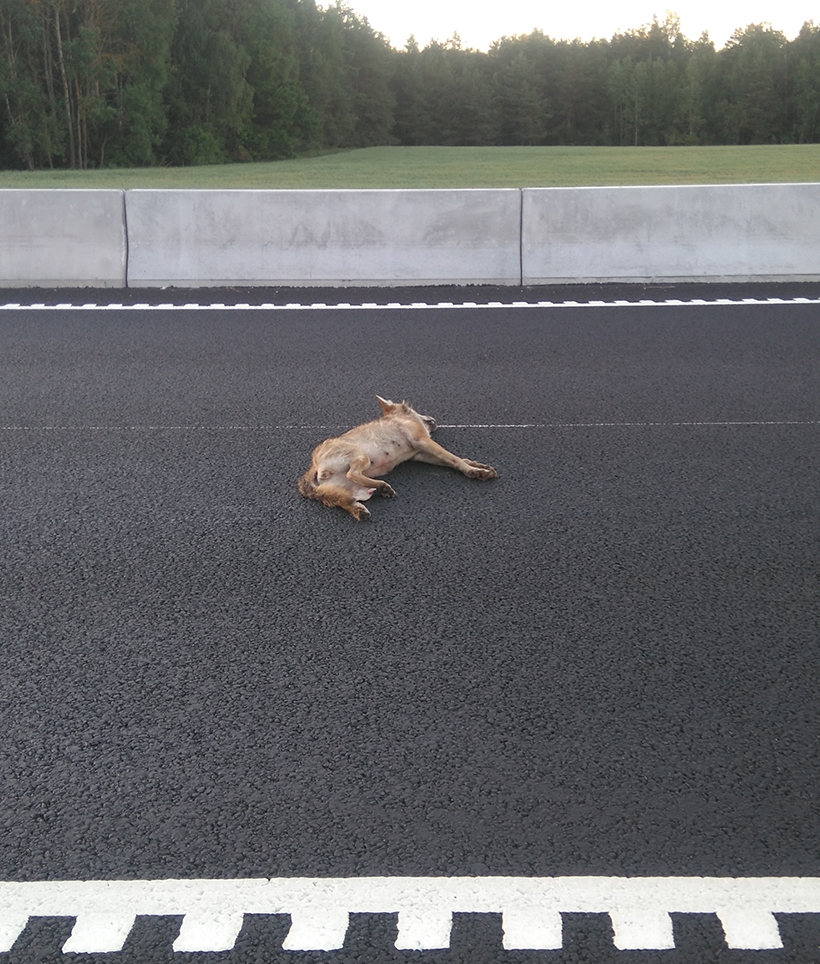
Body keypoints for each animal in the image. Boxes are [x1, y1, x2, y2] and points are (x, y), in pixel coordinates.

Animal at [298, 396, 496, 524]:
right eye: (416, 409)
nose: (434, 418)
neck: (401, 417)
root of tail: (312, 467)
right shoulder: (422, 441)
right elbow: (454, 459)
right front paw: (475, 471)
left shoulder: (420, 454)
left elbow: (455, 459)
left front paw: (478, 465)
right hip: (362, 457)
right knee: (352, 474)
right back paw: (382, 486)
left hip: (355, 491)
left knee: (347, 501)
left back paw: (365, 504)